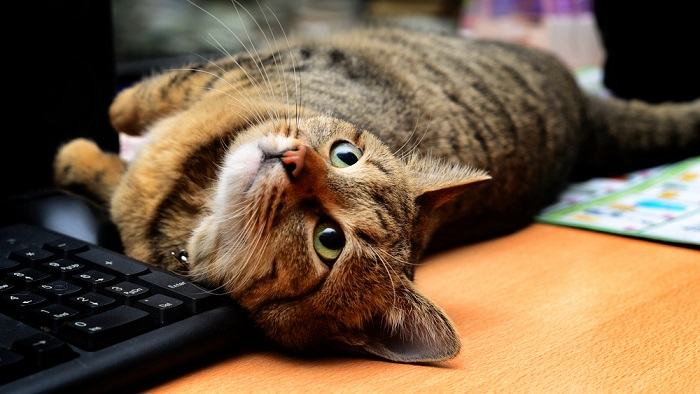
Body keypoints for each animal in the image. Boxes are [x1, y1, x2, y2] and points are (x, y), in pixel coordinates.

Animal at [56, 26, 700, 362]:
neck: (191, 201)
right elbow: (140, 101)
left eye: (329, 241)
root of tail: (589, 120)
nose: (294, 161)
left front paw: (79, 156)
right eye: (345, 154)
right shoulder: (240, 70)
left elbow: (118, 158)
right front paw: (113, 131)